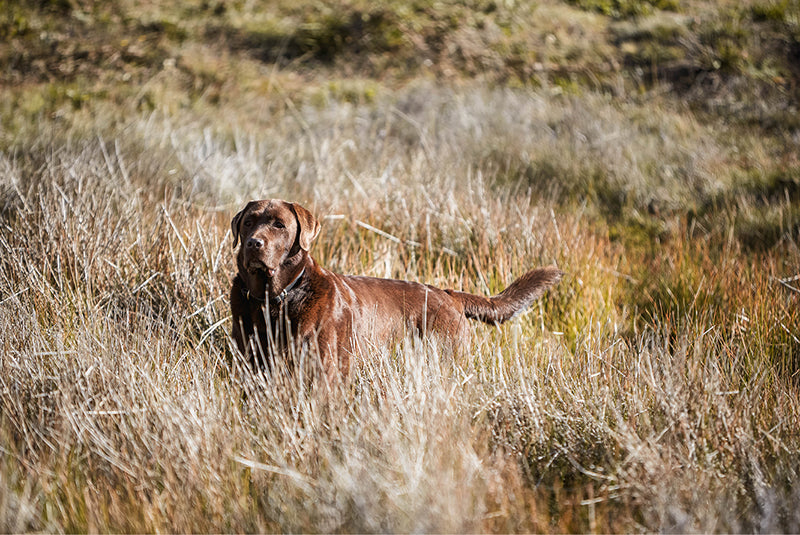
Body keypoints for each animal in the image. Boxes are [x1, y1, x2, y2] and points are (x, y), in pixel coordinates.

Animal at [227, 200, 564, 376]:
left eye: (279, 225)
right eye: (248, 223)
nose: (253, 243)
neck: (273, 299)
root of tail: (447, 294)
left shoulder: (327, 369)